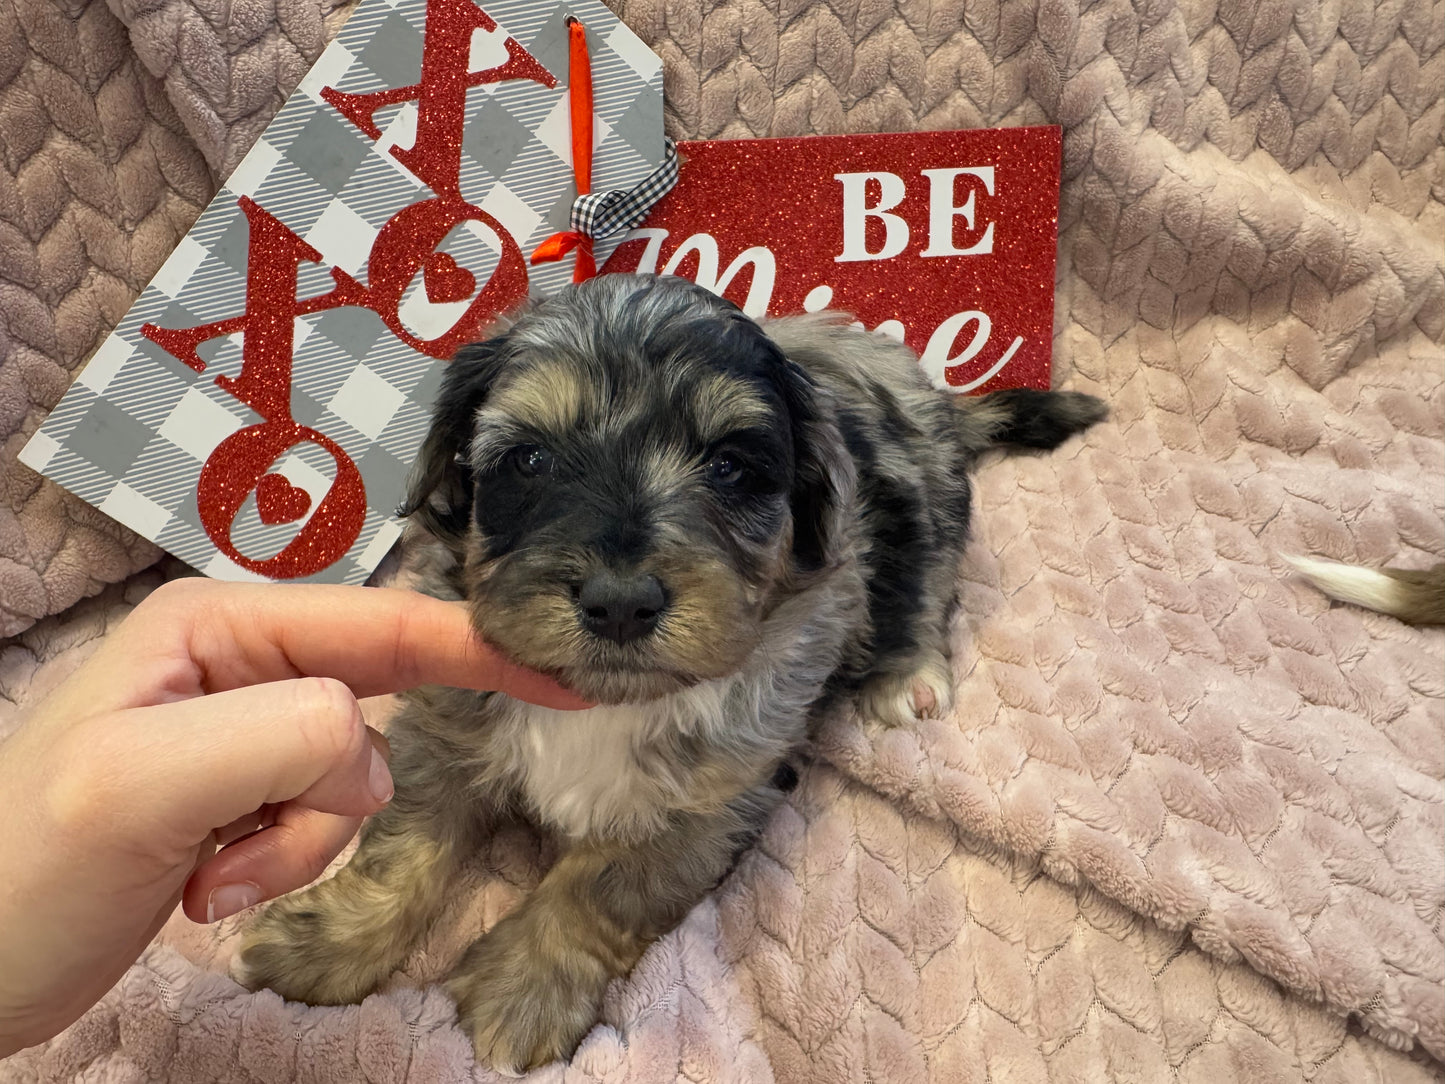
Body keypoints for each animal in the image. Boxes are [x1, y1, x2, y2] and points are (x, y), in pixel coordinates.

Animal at [234, 276, 1103, 1075]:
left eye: (728, 465)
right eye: (529, 459)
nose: (620, 604)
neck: (601, 700)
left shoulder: (709, 804)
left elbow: (597, 886)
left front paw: (522, 992)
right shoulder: (444, 727)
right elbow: (405, 842)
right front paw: (324, 942)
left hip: (921, 498)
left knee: (926, 577)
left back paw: (906, 670)